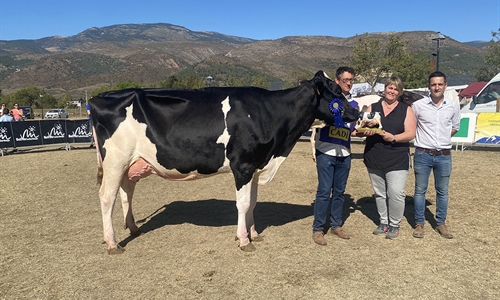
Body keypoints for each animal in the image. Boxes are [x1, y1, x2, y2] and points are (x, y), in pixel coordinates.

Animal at [90, 70, 360, 253]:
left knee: (126, 190)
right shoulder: (242, 165)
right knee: (107, 196)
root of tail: (98, 98)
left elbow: (252, 203)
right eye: (337, 93)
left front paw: (254, 233)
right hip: (115, 160)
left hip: (131, 162)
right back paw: (112, 243)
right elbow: (243, 204)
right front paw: (243, 240)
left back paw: (133, 227)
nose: (357, 112)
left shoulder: (255, 166)